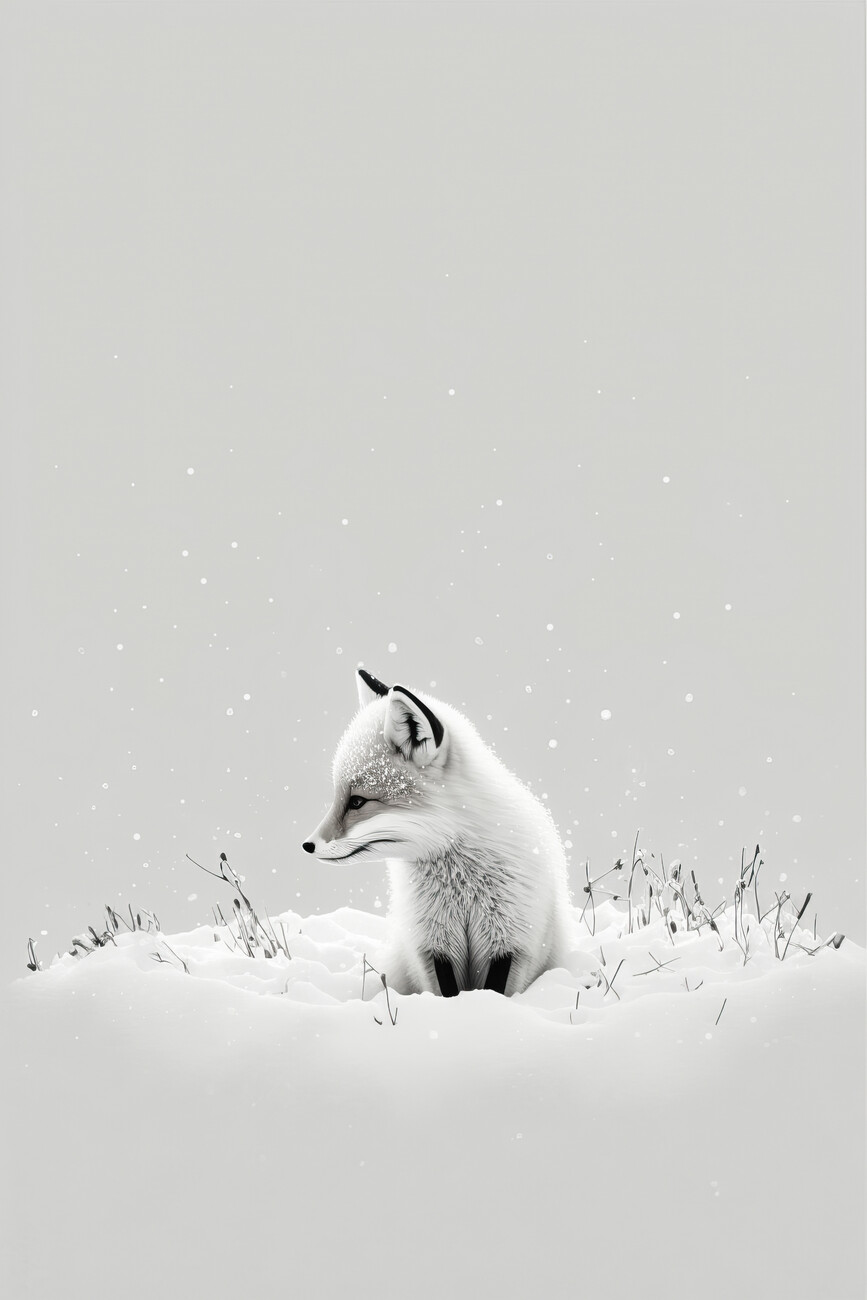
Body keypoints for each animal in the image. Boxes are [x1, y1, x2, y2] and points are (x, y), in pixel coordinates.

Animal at [302, 669, 574, 997]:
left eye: (357, 801)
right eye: (339, 797)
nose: (307, 845)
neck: (462, 885)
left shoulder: (510, 941)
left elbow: (494, 991)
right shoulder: (432, 944)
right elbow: (447, 992)